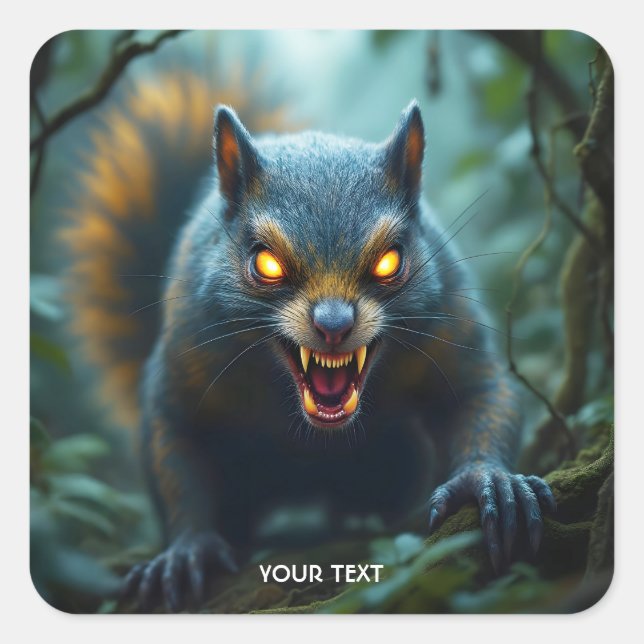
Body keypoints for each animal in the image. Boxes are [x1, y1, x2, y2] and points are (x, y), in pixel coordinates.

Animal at [61, 69, 556, 612]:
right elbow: (176, 444)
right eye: (265, 262)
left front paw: (488, 480)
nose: (334, 324)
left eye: (392, 259)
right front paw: (188, 548)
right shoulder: (189, 355)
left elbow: (481, 393)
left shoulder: (449, 327)